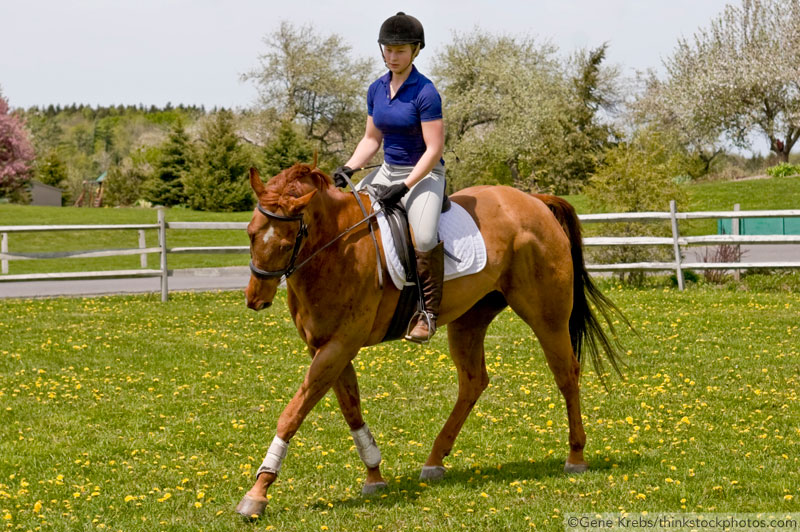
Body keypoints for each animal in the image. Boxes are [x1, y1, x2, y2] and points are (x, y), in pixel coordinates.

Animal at [238, 161, 624, 516]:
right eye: (251, 233)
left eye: (287, 241)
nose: (256, 299)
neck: (336, 248)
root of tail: (535, 201)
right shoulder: (326, 347)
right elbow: (351, 409)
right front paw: (374, 476)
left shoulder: (339, 345)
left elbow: (293, 414)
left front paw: (258, 492)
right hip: (470, 318)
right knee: (473, 381)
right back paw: (435, 460)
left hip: (547, 317)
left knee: (566, 374)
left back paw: (575, 456)